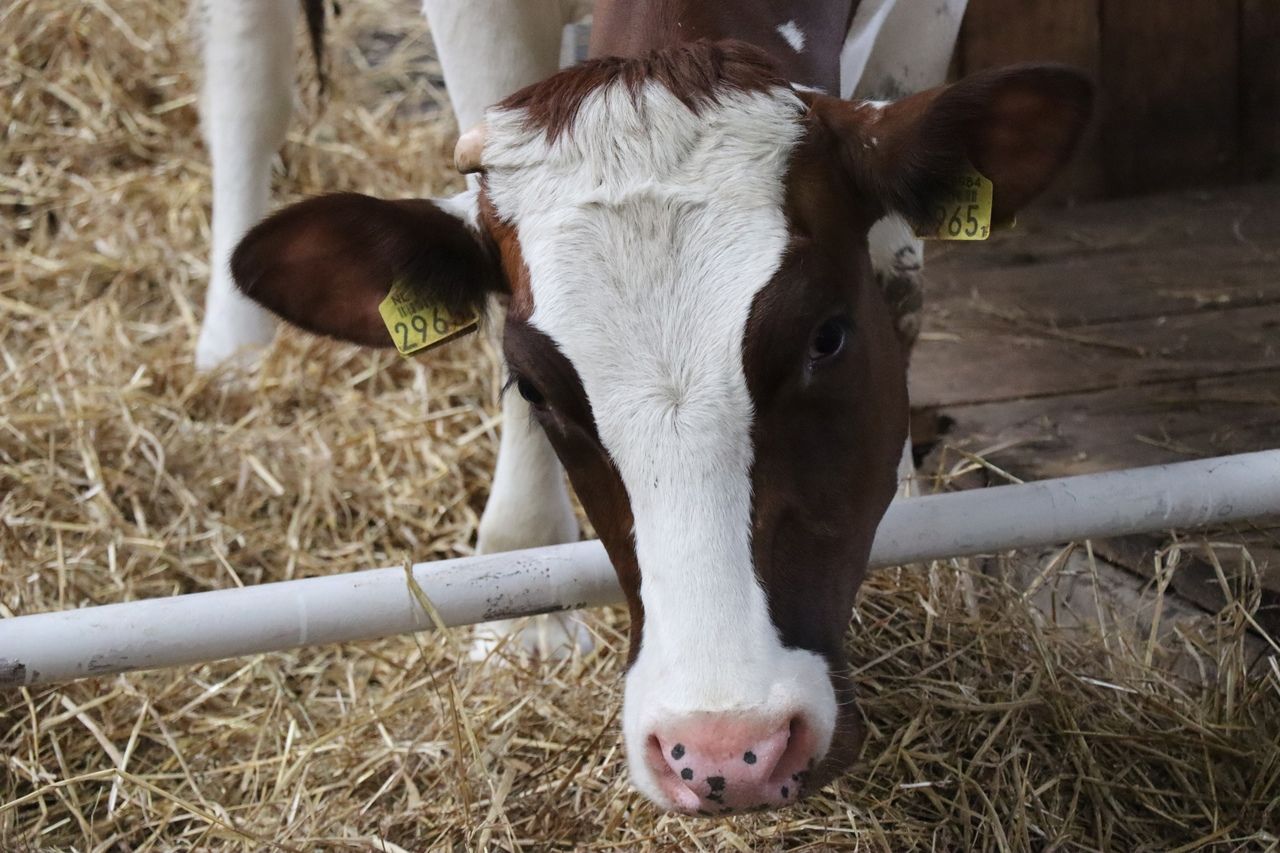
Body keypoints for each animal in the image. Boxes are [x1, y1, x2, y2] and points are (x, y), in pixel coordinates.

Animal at [197, 0, 1090, 809]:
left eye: (829, 337)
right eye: (534, 383)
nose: (728, 751)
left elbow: (898, 262)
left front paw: (907, 514)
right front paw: (523, 582)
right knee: (247, 78)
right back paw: (231, 346)